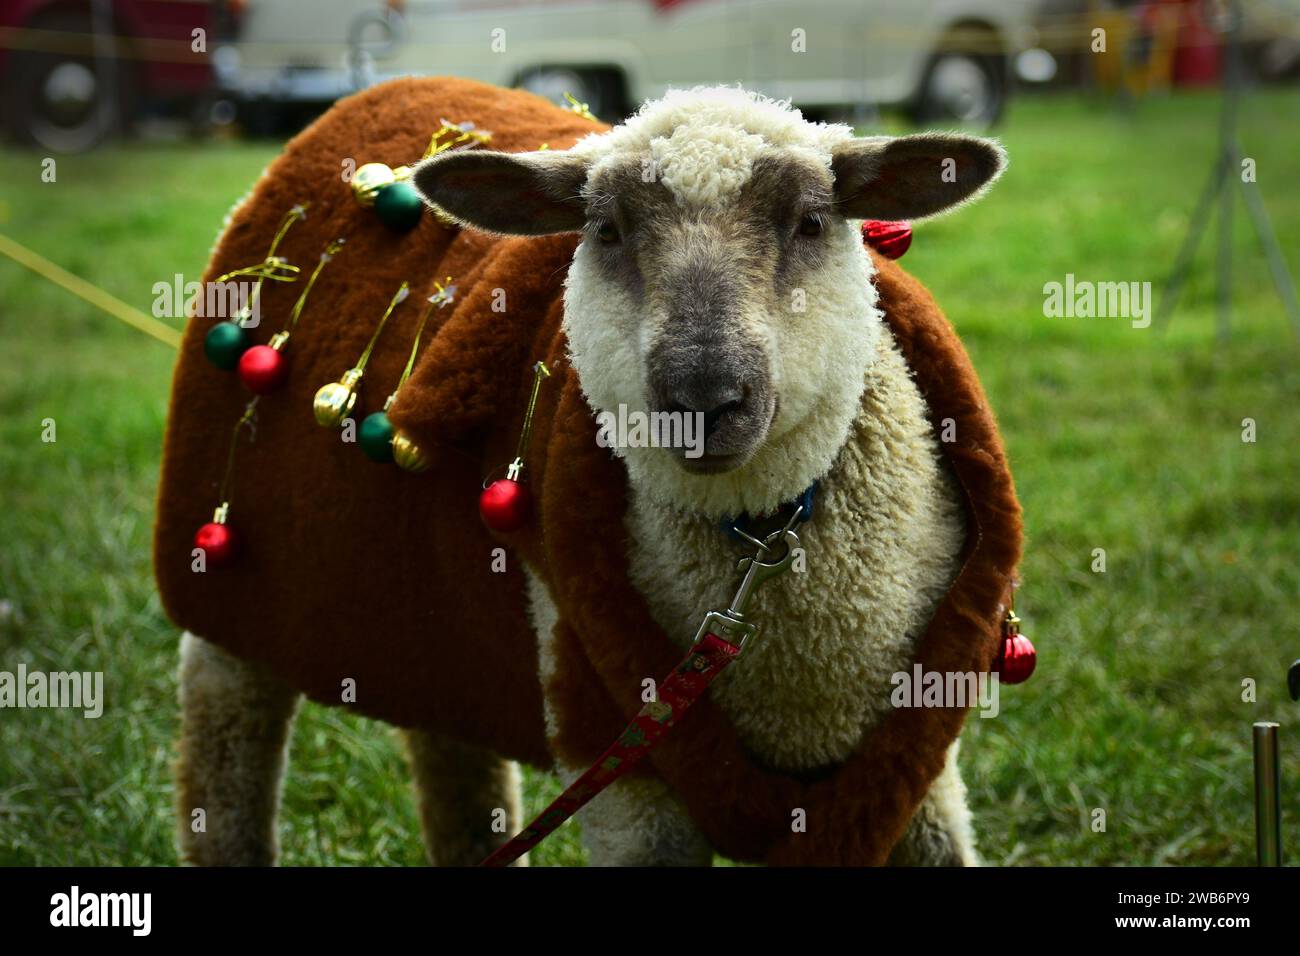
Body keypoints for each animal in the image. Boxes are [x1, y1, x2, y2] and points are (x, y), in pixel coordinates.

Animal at [156, 77, 1020, 867]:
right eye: (606, 229)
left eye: (812, 222)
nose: (702, 398)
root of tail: (373, 93)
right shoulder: (622, 769)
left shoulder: (916, 777)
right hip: (229, 614)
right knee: (222, 763)